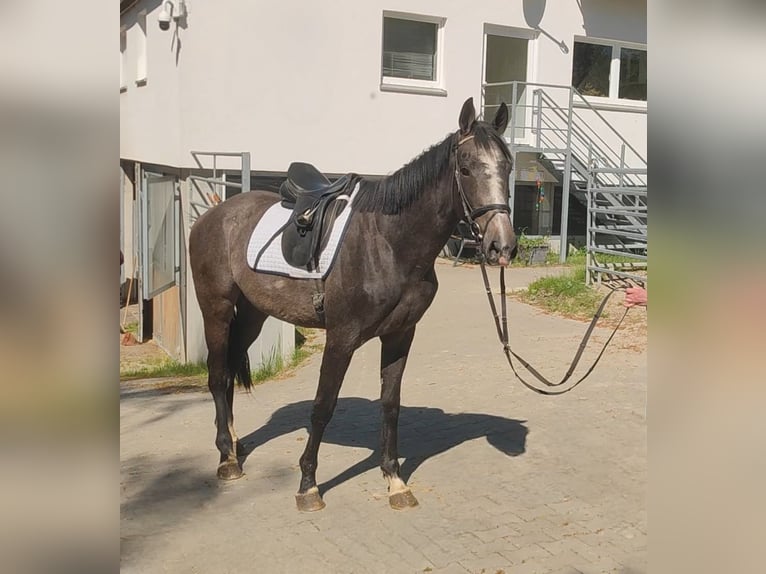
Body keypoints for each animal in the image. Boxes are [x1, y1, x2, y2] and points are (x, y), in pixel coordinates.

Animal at [189, 97, 517, 511]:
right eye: (466, 168)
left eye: (507, 167)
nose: (501, 246)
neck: (389, 243)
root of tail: (215, 213)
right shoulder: (341, 338)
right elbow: (323, 406)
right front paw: (308, 485)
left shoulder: (400, 335)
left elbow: (390, 405)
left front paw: (395, 481)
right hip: (215, 309)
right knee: (217, 376)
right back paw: (226, 459)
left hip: (252, 315)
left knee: (231, 370)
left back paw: (234, 444)